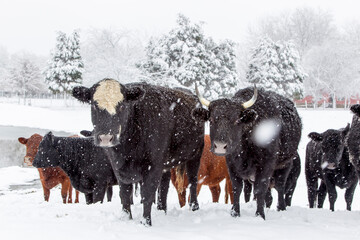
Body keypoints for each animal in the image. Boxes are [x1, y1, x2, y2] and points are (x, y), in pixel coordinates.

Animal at [71, 79, 205, 227]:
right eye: (94, 105)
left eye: (122, 106)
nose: (106, 138)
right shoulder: (118, 168)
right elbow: (125, 195)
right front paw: (126, 218)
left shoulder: (153, 166)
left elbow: (147, 194)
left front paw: (146, 223)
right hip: (166, 164)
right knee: (164, 186)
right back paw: (161, 209)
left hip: (195, 154)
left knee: (193, 181)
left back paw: (194, 207)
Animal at [194, 84, 300, 219]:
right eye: (211, 120)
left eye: (237, 121)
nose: (220, 146)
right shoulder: (232, 165)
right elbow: (237, 189)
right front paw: (235, 213)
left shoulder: (265, 166)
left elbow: (260, 190)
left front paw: (260, 215)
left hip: (285, 164)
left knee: (280, 186)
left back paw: (281, 208)